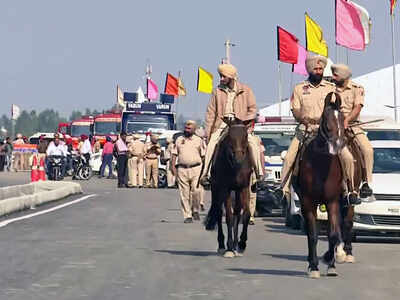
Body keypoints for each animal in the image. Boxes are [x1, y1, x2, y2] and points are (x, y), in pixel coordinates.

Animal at [205, 118, 252, 258]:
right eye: (230, 136)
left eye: (245, 136)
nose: (238, 158)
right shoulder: (225, 188)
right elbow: (229, 217)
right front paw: (230, 247)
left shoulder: (243, 187)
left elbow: (245, 213)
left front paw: (241, 244)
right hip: (216, 188)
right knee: (219, 212)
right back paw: (222, 245)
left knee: (237, 212)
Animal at [294, 92, 346, 278]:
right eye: (326, 119)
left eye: (342, 118)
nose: (338, 145)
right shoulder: (308, 201)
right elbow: (313, 235)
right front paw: (314, 266)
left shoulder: (333, 201)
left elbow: (333, 234)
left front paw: (331, 264)